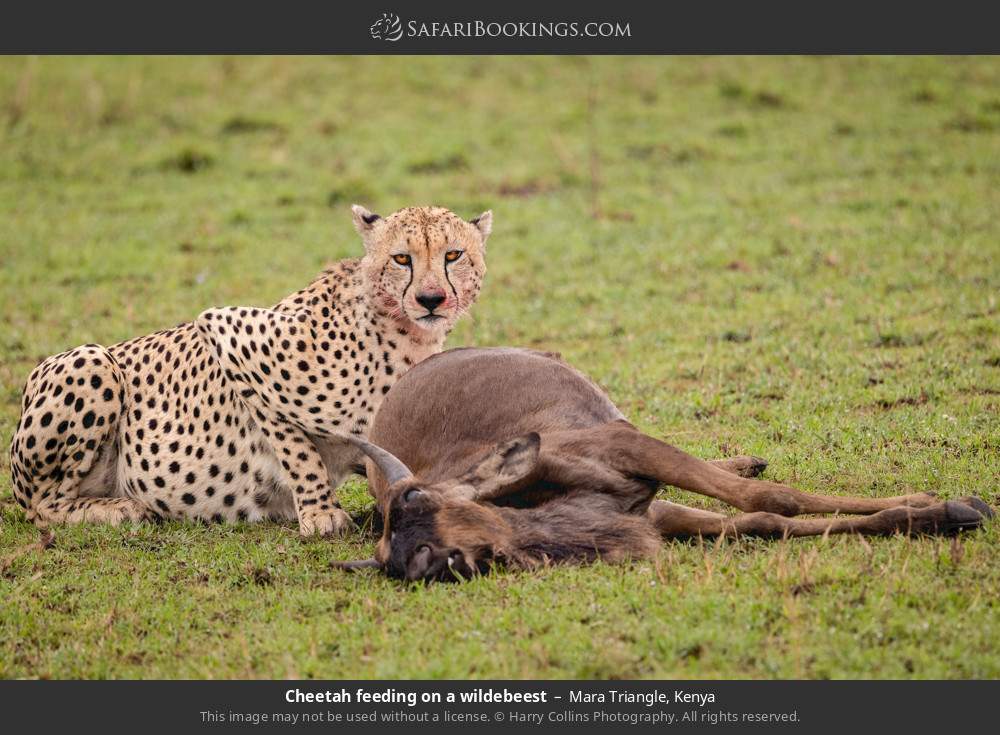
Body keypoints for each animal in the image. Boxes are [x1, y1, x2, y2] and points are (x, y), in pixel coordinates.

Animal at [7, 204, 492, 536]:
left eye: (453, 255)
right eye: (401, 259)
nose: (431, 299)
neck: (402, 331)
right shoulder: (227, 333)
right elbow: (299, 451)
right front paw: (321, 513)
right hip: (91, 362)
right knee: (44, 505)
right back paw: (116, 507)